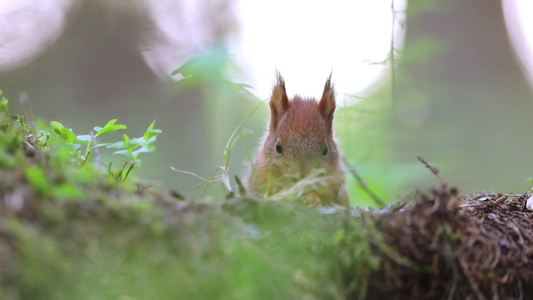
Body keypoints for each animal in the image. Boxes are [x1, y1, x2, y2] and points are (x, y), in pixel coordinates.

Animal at [245, 73, 350, 206]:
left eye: (325, 150)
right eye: (278, 147)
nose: (300, 177)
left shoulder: (335, 179)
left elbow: (328, 195)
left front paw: (314, 199)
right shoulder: (260, 173)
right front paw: (285, 197)